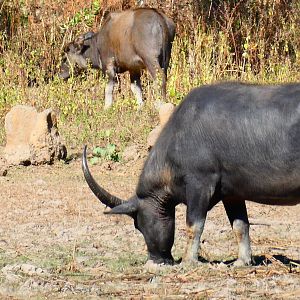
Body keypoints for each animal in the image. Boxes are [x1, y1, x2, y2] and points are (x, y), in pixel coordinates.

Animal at [82, 81, 300, 264]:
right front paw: (243, 261)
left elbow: (194, 225)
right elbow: (240, 226)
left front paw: (188, 260)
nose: (155, 259)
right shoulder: (232, 193)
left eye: (139, 224)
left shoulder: (200, 183)